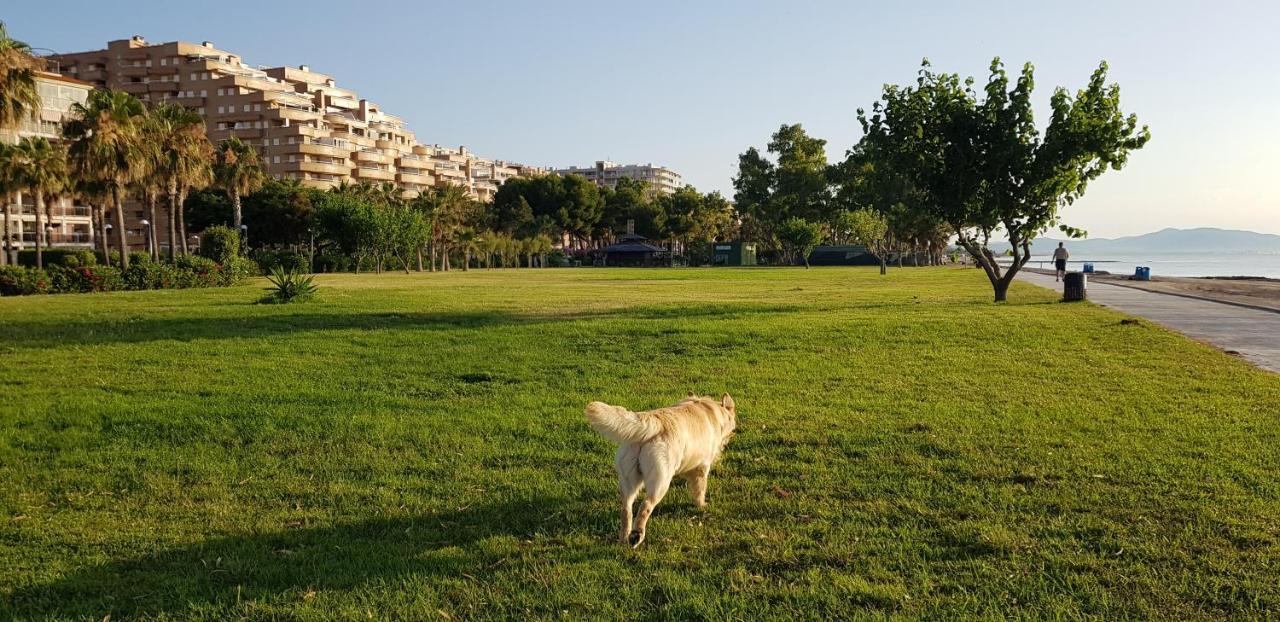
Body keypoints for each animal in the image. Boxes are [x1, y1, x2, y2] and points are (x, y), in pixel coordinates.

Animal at [583, 394, 737, 550]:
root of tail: (653, 421)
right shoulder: (702, 467)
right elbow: (699, 490)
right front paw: (701, 505)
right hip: (660, 481)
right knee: (645, 506)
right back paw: (636, 535)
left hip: (628, 478)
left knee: (626, 508)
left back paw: (624, 538)